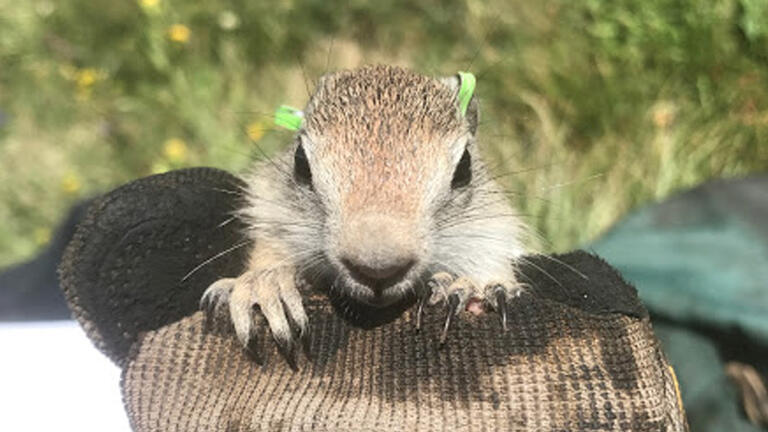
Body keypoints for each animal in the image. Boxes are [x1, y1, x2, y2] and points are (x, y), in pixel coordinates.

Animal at [201, 64, 532, 364]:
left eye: (464, 167)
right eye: (300, 161)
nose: (378, 270)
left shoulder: (490, 231)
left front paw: (470, 288)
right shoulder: (273, 215)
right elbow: (267, 254)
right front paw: (265, 285)